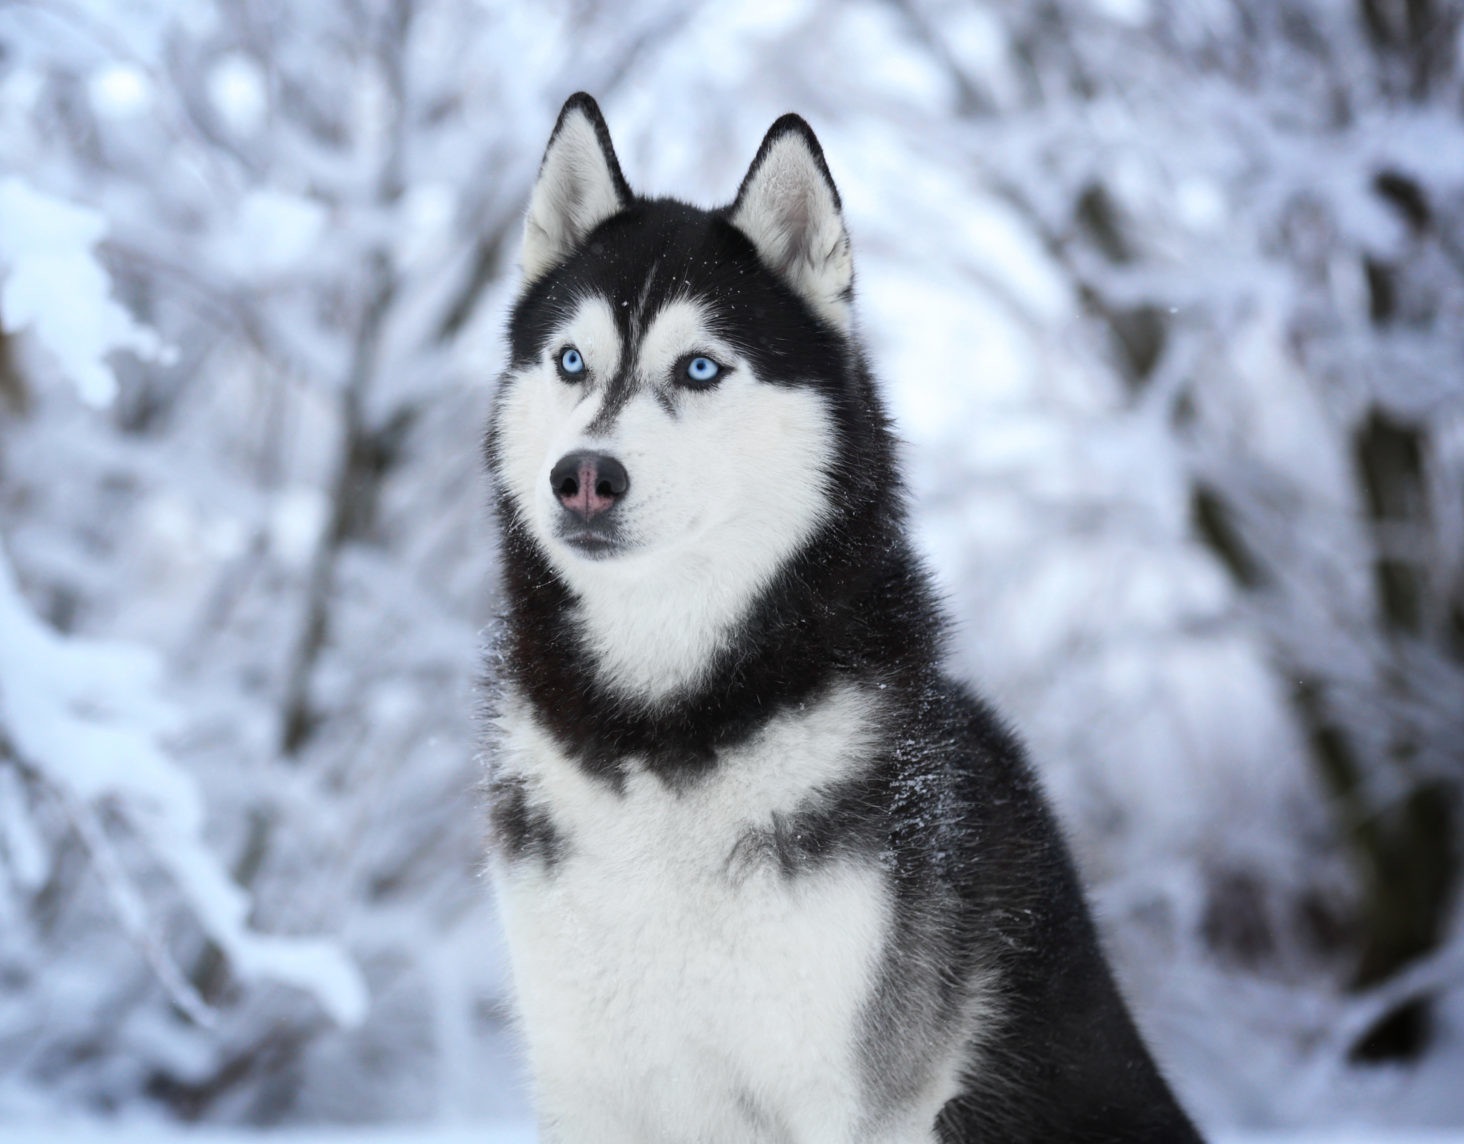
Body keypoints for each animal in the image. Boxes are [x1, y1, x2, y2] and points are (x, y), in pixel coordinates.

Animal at [483, 91, 1200, 1142]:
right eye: (571, 361)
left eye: (700, 369)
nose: (582, 476)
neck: (663, 724)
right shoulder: (586, 1083)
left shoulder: (853, 1098)